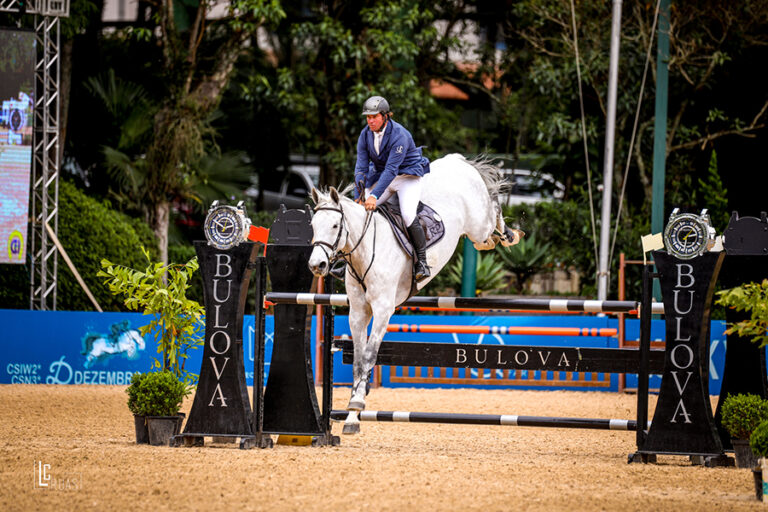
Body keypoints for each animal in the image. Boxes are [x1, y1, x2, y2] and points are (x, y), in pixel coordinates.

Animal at [306, 154, 520, 434]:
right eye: (312, 225)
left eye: (334, 225)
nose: (316, 265)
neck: (365, 250)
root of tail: (458, 161)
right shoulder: (358, 312)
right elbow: (358, 361)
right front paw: (353, 414)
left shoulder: (383, 310)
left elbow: (369, 355)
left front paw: (357, 404)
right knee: (485, 239)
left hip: (478, 223)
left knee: (493, 213)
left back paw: (510, 235)